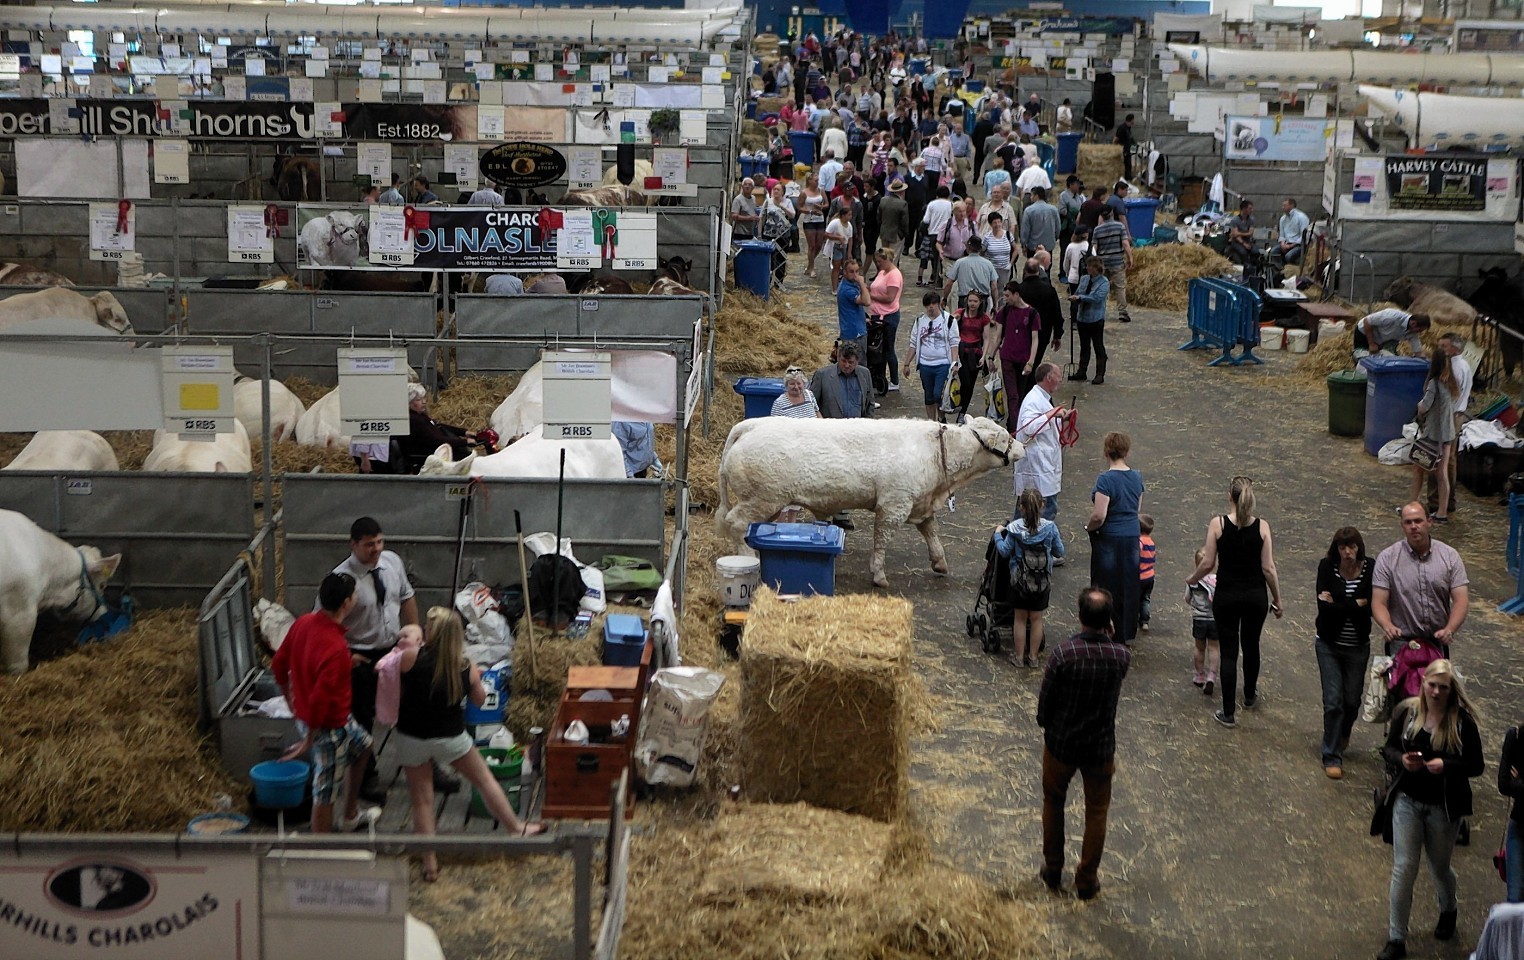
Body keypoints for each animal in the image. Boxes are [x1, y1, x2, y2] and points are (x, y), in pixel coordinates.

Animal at [716, 417, 1024, 591]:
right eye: (1006, 436)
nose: (1022, 446)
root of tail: (749, 426)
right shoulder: (894, 505)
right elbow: (882, 539)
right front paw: (879, 575)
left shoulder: (920, 503)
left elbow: (932, 532)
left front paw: (940, 563)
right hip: (762, 498)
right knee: (734, 523)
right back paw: (749, 557)